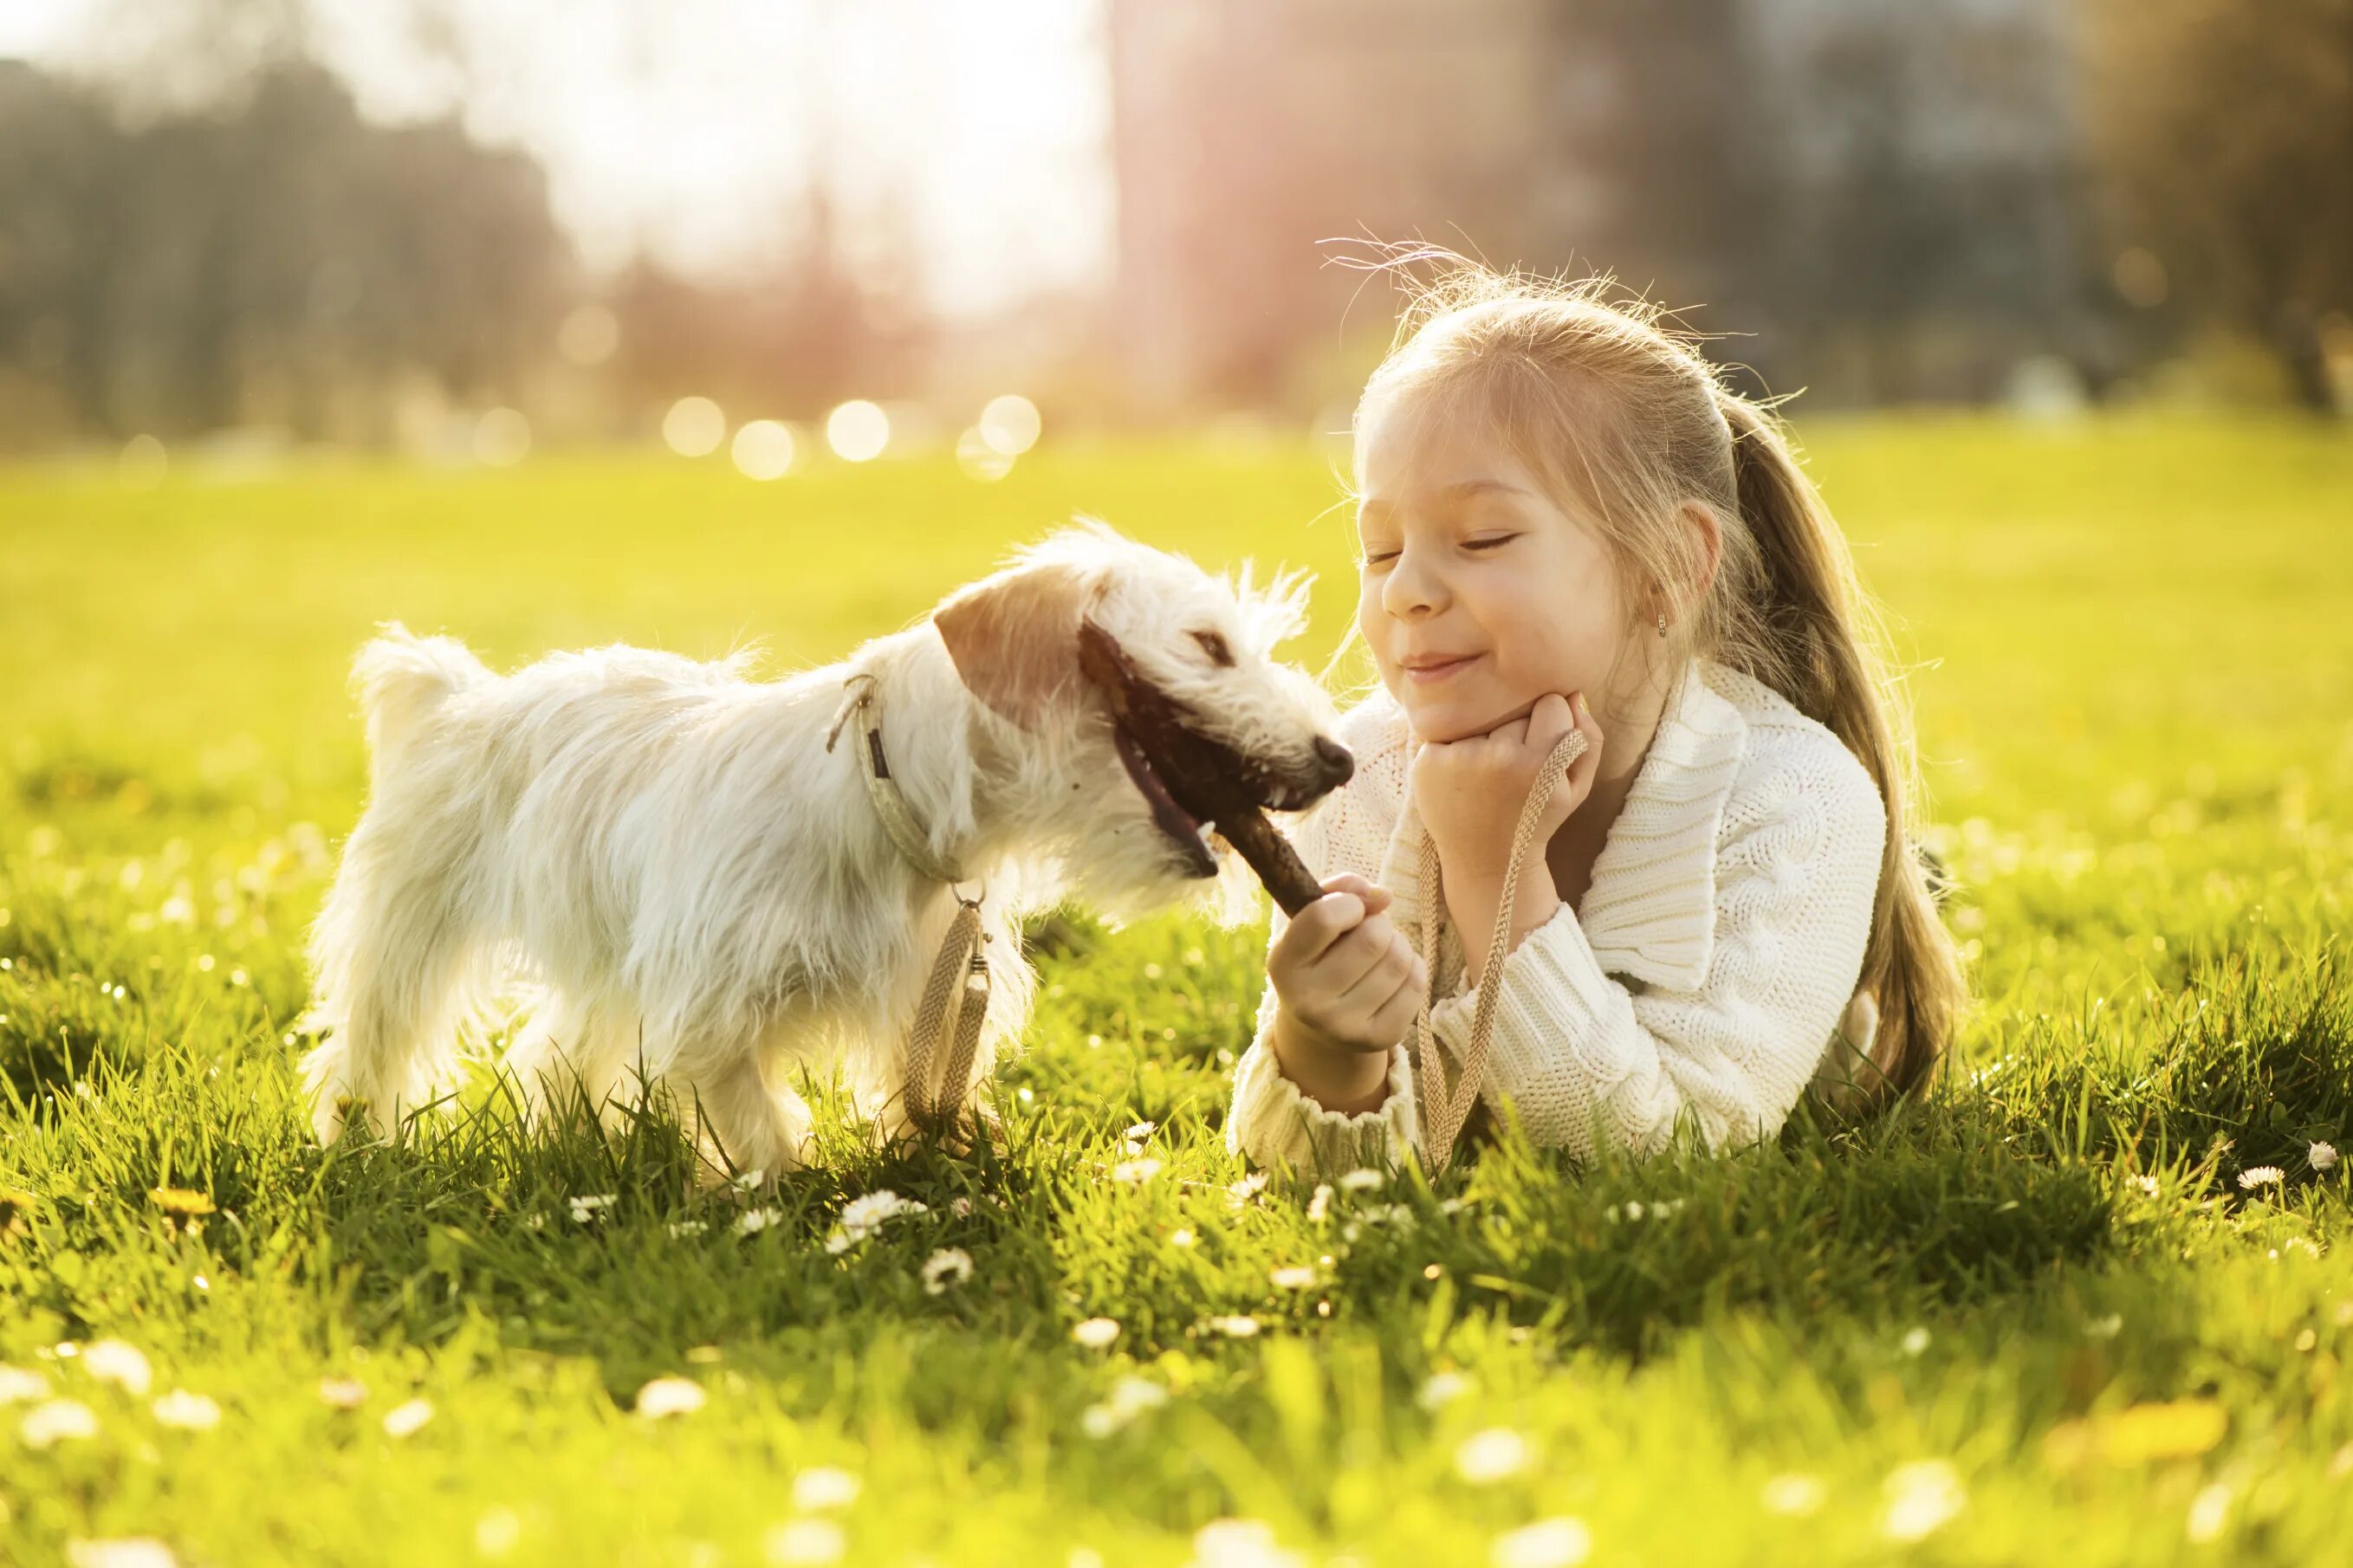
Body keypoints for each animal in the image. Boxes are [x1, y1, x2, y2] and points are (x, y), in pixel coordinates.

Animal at [303, 517, 1355, 1176]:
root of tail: (463, 695)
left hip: (610, 960)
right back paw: (357, 1145)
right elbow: (755, 1124)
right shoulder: (710, 1009)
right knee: (370, 1045)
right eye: (1209, 646)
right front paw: (786, 1194)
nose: (1341, 757)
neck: (879, 795)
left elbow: (922, 1098)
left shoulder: (923, 1000)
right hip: (409, 935)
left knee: (554, 1053)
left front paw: (947, 1166)